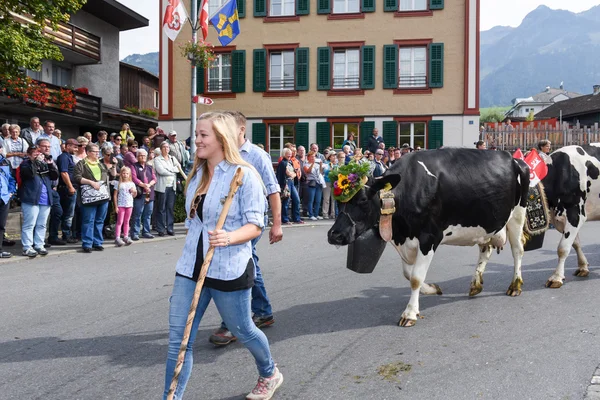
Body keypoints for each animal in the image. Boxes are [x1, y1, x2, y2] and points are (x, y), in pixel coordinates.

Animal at [328, 148, 528, 326]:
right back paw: (475, 285)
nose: (334, 235)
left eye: (362, 200)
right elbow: (408, 274)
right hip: (485, 224)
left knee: (518, 249)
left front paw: (409, 314)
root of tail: (514, 158)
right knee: (486, 250)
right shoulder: (405, 241)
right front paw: (432, 289)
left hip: (517, 215)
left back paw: (515, 286)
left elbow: (416, 277)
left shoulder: (429, 237)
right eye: (338, 201)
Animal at [540, 144, 600, 288]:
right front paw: (583, 267)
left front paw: (556, 277)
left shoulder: (575, 213)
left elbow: (562, 248)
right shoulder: (560, 219)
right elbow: (575, 243)